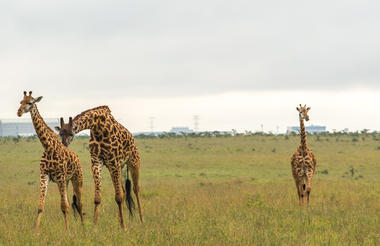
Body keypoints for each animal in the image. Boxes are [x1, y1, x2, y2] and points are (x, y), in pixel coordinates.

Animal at [16, 91, 84, 231]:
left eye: (30, 102)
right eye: (21, 102)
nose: (19, 112)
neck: (47, 146)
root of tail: (77, 158)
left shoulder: (60, 176)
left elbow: (64, 207)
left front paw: (66, 230)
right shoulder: (44, 175)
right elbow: (41, 206)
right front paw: (36, 230)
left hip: (77, 179)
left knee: (80, 203)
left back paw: (84, 227)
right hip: (66, 181)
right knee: (70, 202)